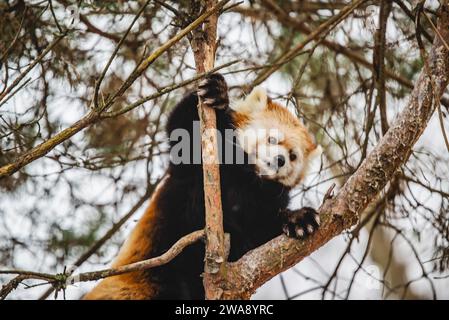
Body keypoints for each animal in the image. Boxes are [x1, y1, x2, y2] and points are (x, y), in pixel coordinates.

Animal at [84, 74, 320, 298]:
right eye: (272, 139)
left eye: (293, 156)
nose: (280, 160)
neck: (247, 178)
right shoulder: (192, 172)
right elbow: (183, 128)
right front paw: (217, 92)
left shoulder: (261, 201)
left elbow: (262, 229)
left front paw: (298, 219)